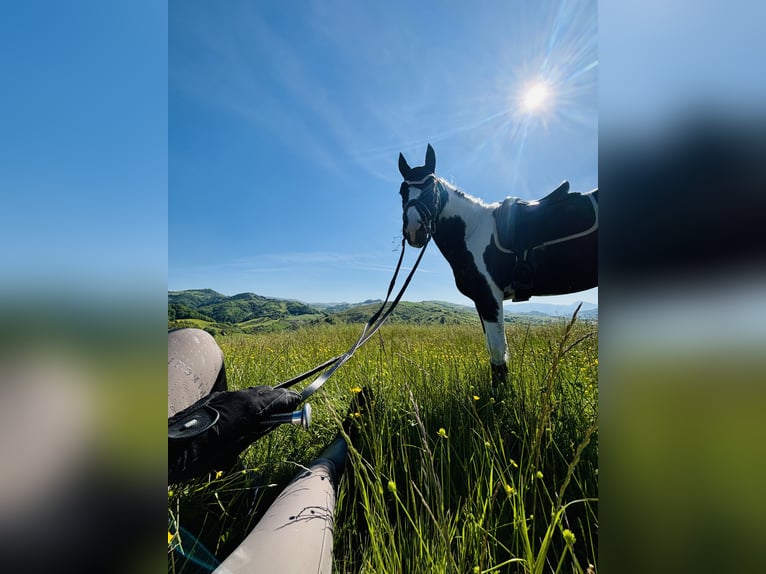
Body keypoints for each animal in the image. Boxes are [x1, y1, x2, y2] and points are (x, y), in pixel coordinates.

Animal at [397, 144, 597, 386]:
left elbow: (497, 352)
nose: (414, 231)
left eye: (431, 188)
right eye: (402, 192)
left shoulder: (489, 298)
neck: (471, 230)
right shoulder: (482, 301)